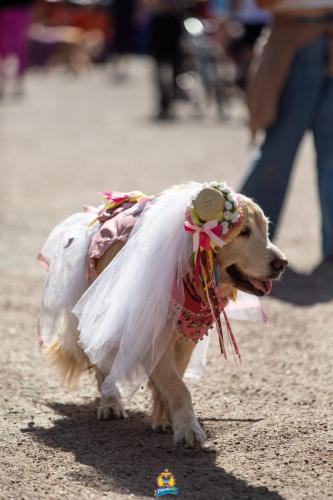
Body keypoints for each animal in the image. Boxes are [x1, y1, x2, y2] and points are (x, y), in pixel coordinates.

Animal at [43, 186, 286, 448]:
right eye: (243, 232)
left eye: (266, 229)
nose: (282, 263)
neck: (185, 267)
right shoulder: (149, 333)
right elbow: (179, 387)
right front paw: (188, 428)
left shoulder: (185, 337)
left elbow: (173, 380)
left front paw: (165, 419)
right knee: (102, 364)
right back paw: (111, 402)